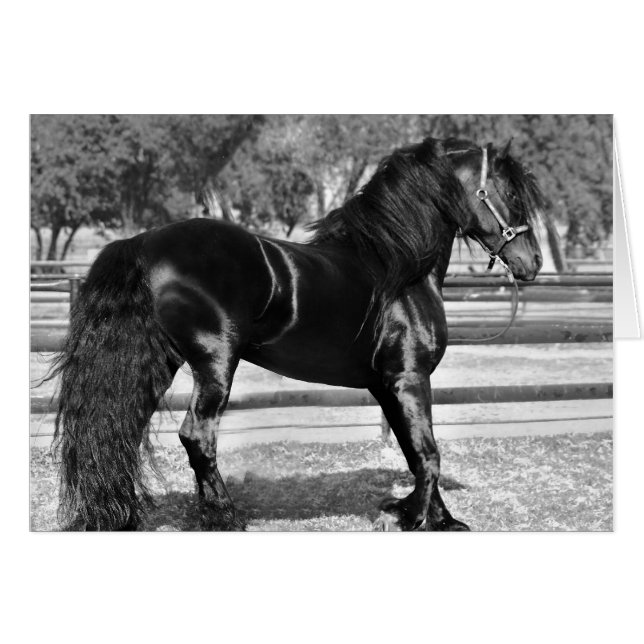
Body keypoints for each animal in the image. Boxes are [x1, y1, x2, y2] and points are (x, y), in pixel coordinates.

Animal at [50, 136, 545, 531]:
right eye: (509, 193)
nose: (533, 262)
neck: (398, 269)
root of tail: (143, 242)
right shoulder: (409, 379)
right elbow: (428, 453)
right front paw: (421, 519)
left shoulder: (386, 386)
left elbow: (413, 450)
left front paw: (435, 517)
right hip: (214, 365)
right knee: (197, 436)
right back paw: (224, 516)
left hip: (158, 363)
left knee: (122, 431)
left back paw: (128, 515)